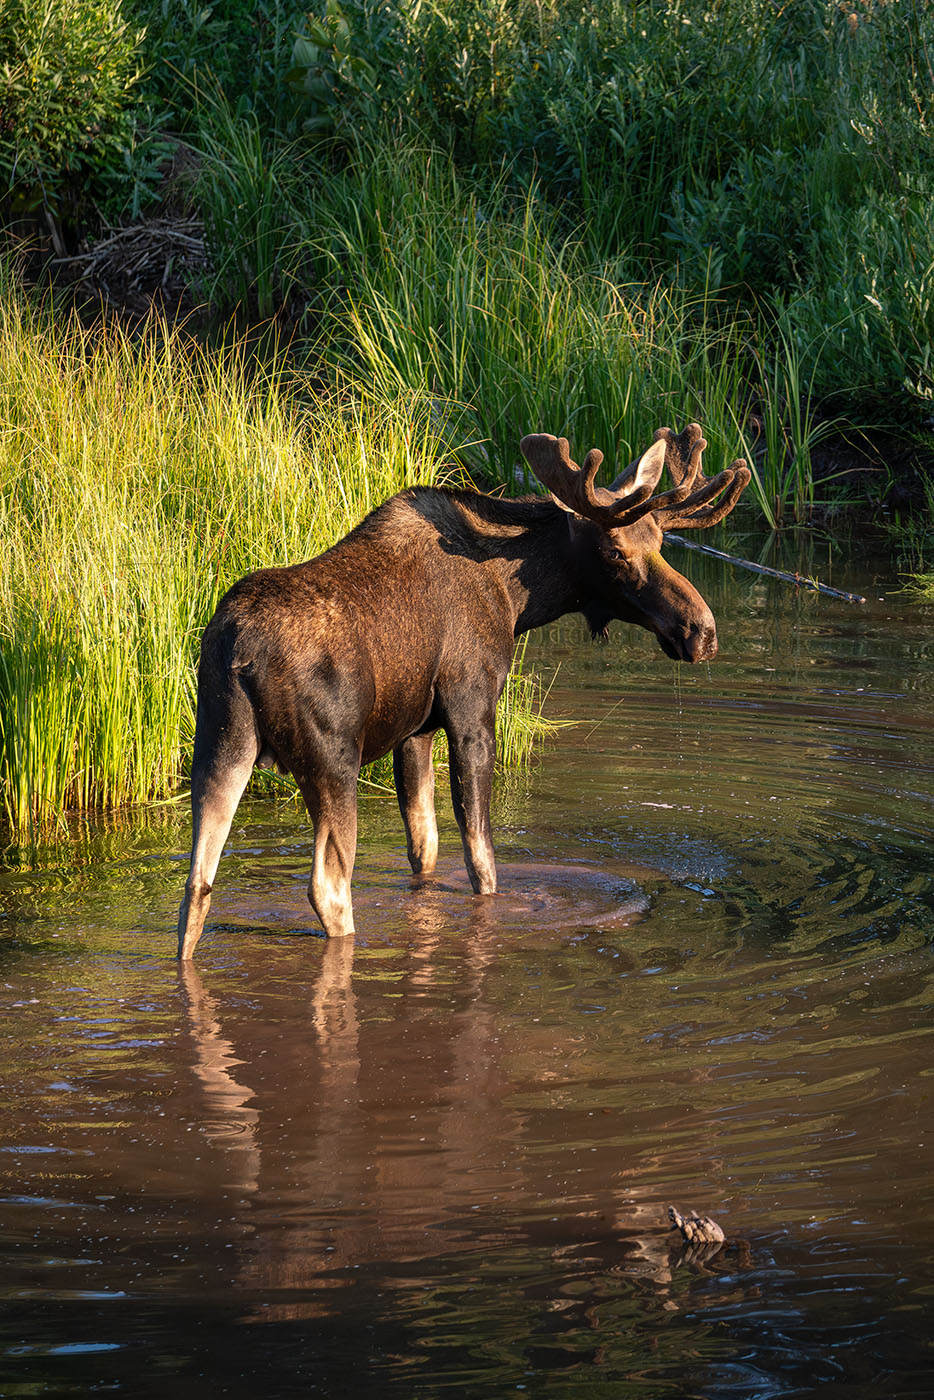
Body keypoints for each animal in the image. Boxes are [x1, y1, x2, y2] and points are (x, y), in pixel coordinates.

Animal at [179, 420, 750, 957]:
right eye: (614, 552)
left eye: (659, 543)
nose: (702, 632)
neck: (518, 598)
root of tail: (239, 651)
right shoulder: (471, 708)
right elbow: (482, 859)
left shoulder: (414, 731)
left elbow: (425, 846)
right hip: (332, 760)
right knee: (328, 885)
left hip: (217, 747)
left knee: (197, 884)